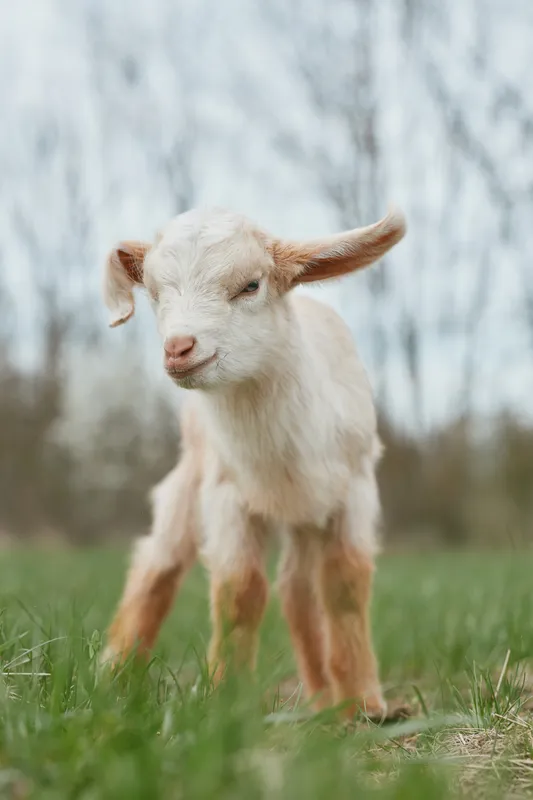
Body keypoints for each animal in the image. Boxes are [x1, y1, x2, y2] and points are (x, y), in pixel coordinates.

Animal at [101, 206, 406, 718]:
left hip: (306, 512)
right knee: (159, 563)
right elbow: (240, 589)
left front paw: (364, 704)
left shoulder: (355, 488)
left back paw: (324, 698)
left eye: (250, 286)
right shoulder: (227, 493)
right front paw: (225, 700)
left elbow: (343, 585)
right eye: (156, 294)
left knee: (298, 589)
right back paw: (112, 673)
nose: (179, 348)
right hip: (191, 478)